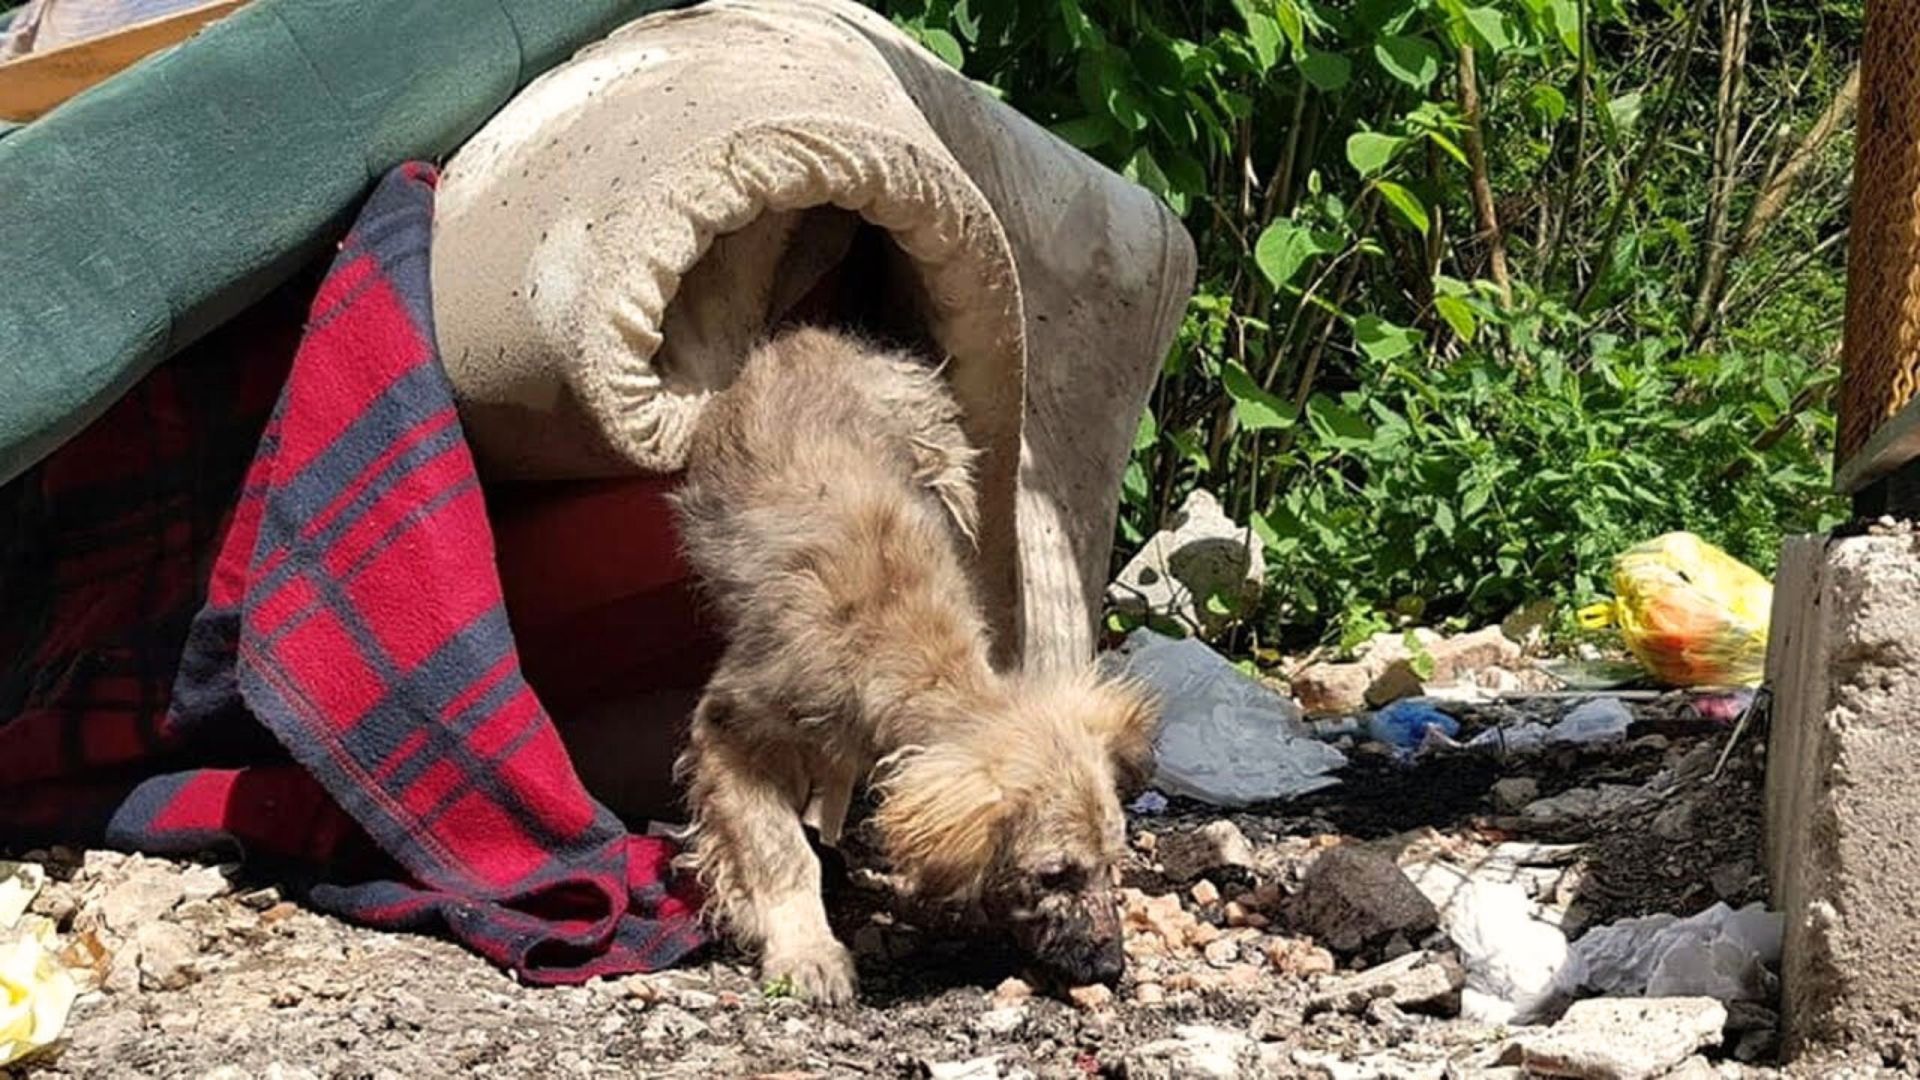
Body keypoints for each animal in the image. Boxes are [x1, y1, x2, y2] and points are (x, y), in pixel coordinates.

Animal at [675, 320, 1152, 999]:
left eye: (1113, 864)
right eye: (1054, 874)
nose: (1110, 968)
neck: (907, 650)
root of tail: (811, 336)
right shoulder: (729, 728)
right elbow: (779, 849)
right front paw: (807, 951)